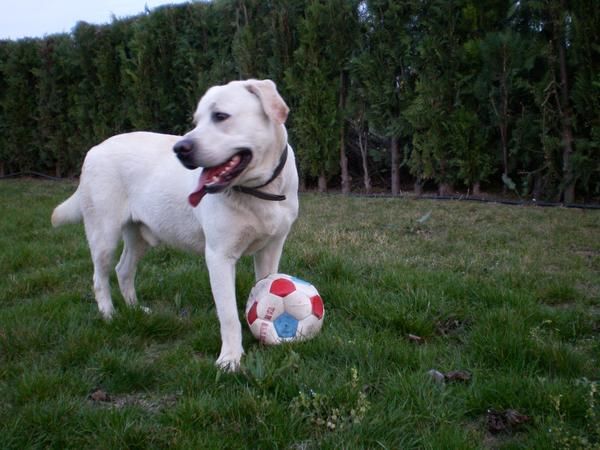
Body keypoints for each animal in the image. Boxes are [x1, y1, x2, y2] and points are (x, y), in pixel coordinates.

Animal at [50, 80, 298, 370]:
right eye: (196, 121)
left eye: (220, 116)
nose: (181, 148)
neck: (260, 190)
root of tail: (94, 149)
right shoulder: (219, 256)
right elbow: (228, 315)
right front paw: (229, 359)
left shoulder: (271, 248)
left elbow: (264, 294)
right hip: (104, 236)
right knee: (100, 278)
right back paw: (109, 315)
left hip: (138, 236)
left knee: (124, 270)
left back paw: (135, 309)